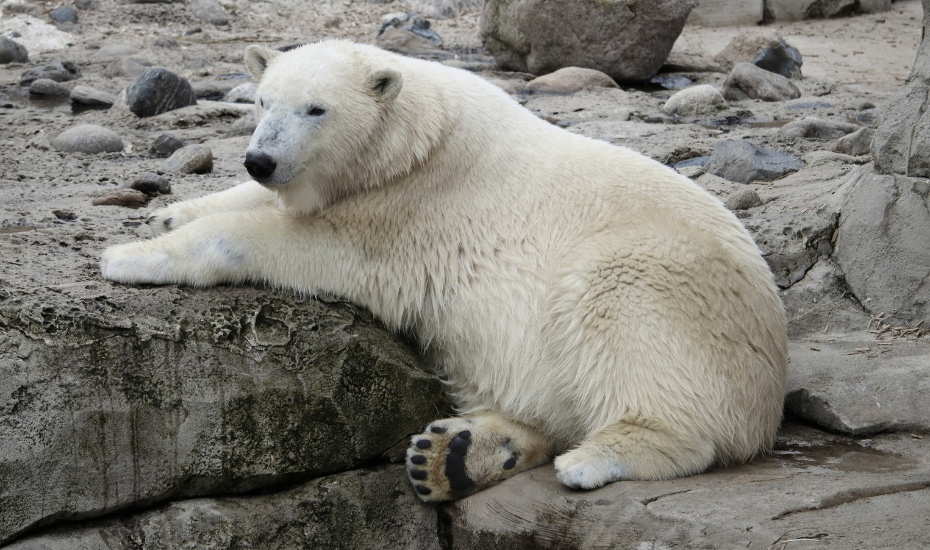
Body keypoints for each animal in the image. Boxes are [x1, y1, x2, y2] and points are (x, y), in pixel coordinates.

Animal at [99, 41, 784, 502]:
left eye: (316, 109)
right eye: (264, 101)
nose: (260, 159)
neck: (414, 140)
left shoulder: (410, 212)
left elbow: (303, 244)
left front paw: (128, 257)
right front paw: (169, 211)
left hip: (661, 281)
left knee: (626, 332)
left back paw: (591, 459)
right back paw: (456, 455)